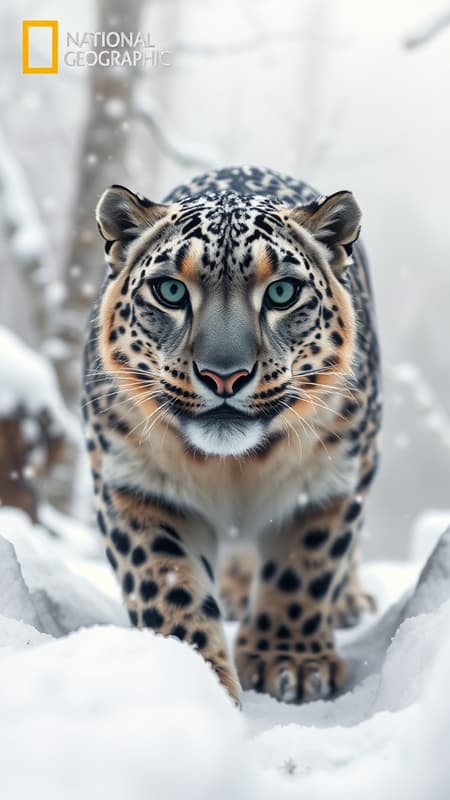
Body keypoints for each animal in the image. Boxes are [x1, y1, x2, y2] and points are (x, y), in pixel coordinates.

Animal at [82, 165, 381, 706]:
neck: (234, 468)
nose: (224, 375)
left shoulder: (333, 479)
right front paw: (190, 677)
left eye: (282, 293)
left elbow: (307, 567)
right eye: (170, 291)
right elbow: (164, 579)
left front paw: (291, 662)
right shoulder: (134, 482)